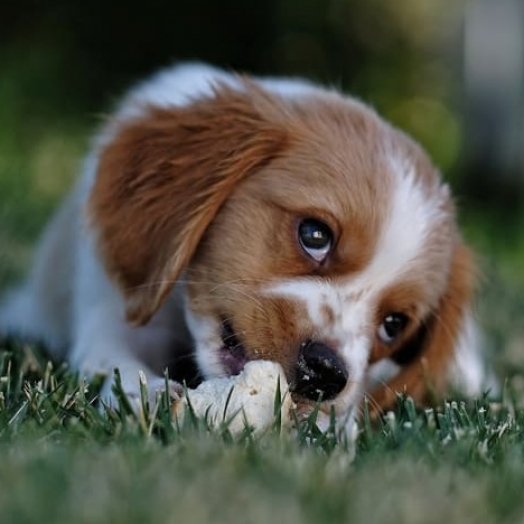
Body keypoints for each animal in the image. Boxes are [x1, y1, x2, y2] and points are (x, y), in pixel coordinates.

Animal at [0, 61, 490, 430]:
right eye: (314, 235)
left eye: (393, 325)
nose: (326, 373)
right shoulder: (110, 311)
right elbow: (119, 364)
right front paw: (153, 395)